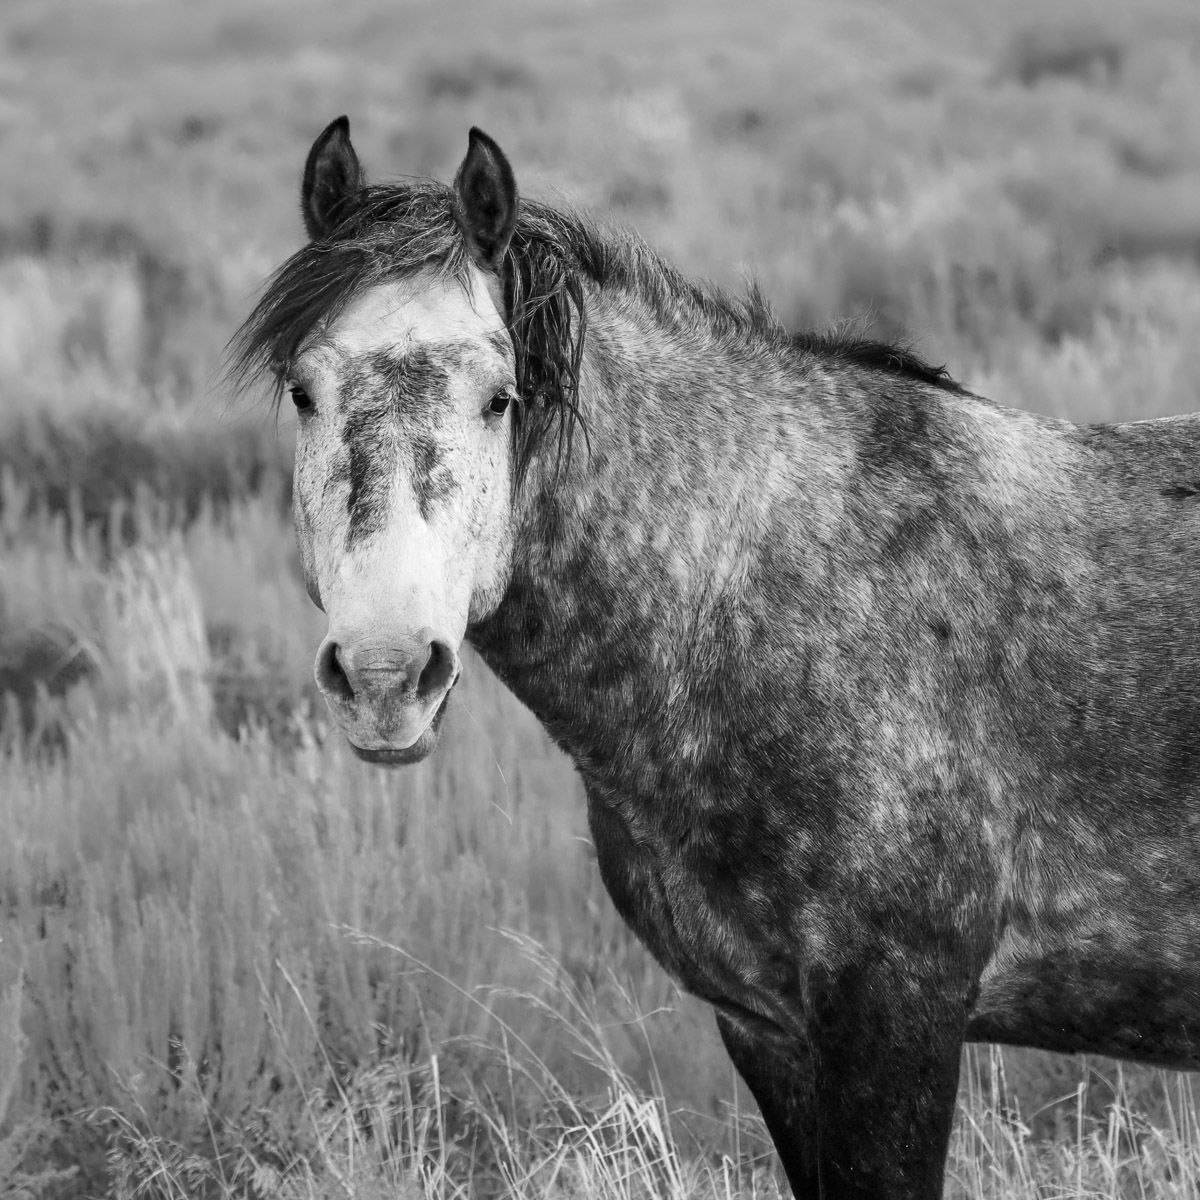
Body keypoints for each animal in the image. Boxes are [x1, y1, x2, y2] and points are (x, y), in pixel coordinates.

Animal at [231, 116, 1200, 1199]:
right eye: (303, 390)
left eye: (499, 397)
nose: (387, 674)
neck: (769, 589)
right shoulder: (767, 1030)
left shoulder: (898, 1013)